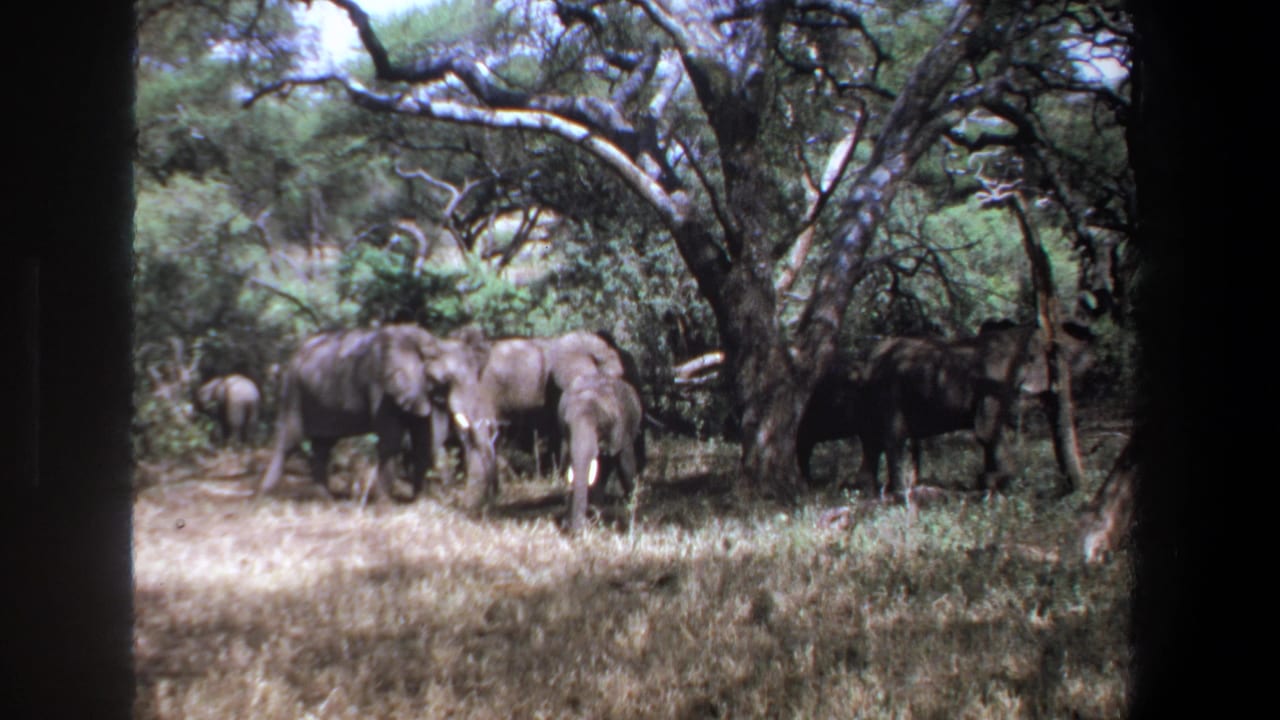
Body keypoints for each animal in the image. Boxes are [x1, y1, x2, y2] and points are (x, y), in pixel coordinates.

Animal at [257, 324, 497, 504]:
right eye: (445, 380)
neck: (430, 342)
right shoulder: (381, 385)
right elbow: (392, 440)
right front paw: (386, 504)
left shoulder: (418, 389)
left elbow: (424, 439)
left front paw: (419, 502)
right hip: (294, 389)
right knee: (290, 439)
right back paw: (267, 495)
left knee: (323, 446)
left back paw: (324, 498)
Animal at [851, 320, 1094, 499]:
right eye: (1058, 362)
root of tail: (867, 361)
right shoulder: (995, 381)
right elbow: (987, 430)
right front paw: (1002, 481)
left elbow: (988, 433)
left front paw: (987, 481)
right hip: (888, 391)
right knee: (893, 438)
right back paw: (899, 494)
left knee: (872, 440)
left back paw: (867, 491)